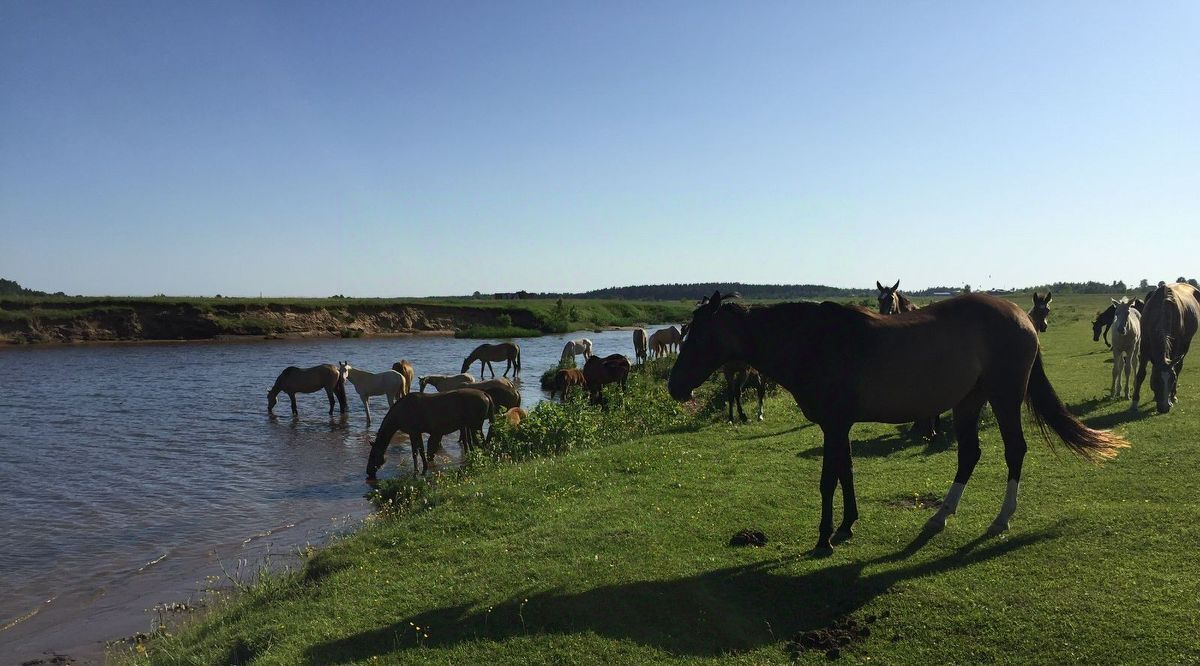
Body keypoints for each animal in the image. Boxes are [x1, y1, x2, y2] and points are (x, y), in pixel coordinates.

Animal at [672, 289, 1128, 554]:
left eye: (698, 334)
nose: (675, 386)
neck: (813, 341)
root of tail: (1022, 317)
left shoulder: (833, 425)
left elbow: (829, 478)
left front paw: (824, 537)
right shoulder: (839, 426)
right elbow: (846, 471)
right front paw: (847, 526)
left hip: (1003, 399)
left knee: (1014, 451)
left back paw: (1001, 519)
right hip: (968, 402)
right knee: (969, 455)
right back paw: (939, 516)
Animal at [1128, 284, 1195, 415]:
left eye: (1172, 380)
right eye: (1156, 380)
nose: (1164, 408)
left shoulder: (1175, 347)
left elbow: (1175, 369)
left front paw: (1171, 398)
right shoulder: (1144, 347)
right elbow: (1141, 374)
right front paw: (1134, 402)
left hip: (1185, 344)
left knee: (1179, 367)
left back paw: (1173, 396)